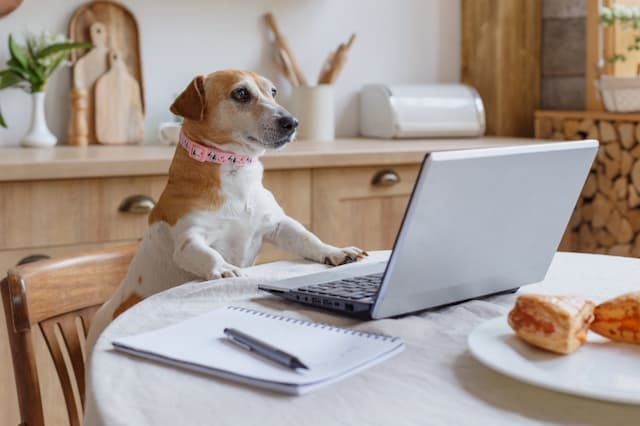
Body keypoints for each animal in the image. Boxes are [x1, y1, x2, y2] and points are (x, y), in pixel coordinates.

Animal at [85, 70, 368, 354]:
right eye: (241, 93)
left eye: (273, 92)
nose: (292, 122)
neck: (235, 174)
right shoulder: (188, 241)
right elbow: (208, 254)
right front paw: (224, 269)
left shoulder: (277, 225)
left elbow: (308, 238)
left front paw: (336, 251)